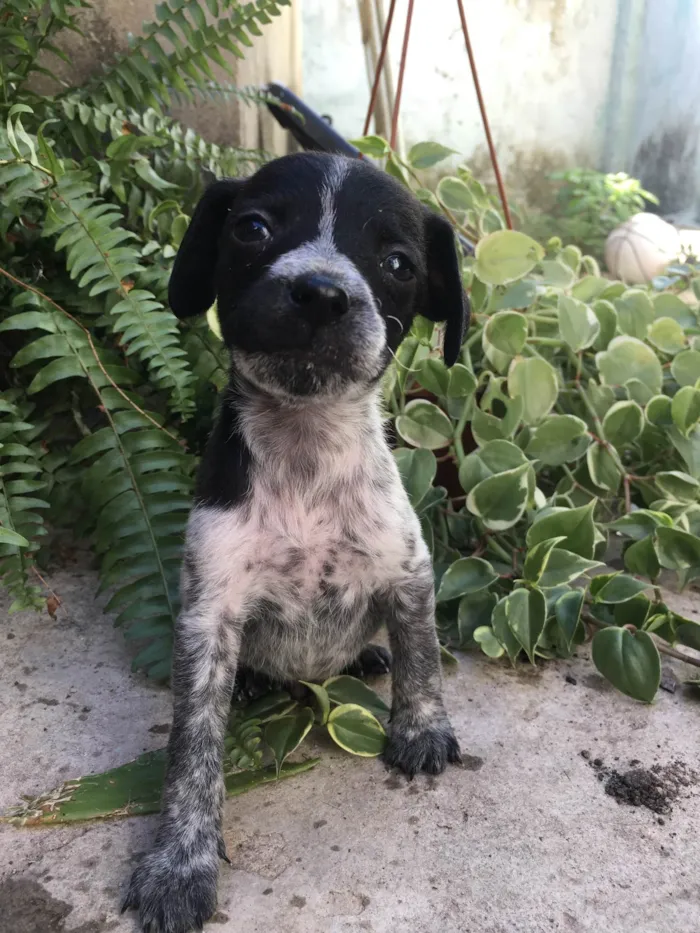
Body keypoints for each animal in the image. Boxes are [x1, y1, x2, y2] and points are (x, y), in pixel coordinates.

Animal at [123, 153, 470, 932]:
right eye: (253, 228)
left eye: (397, 262)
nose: (320, 293)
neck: (306, 447)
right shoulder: (209, 617)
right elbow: (192, 753)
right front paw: (180, 863)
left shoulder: (408, 571)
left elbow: (424, 656)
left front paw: (420, 729)